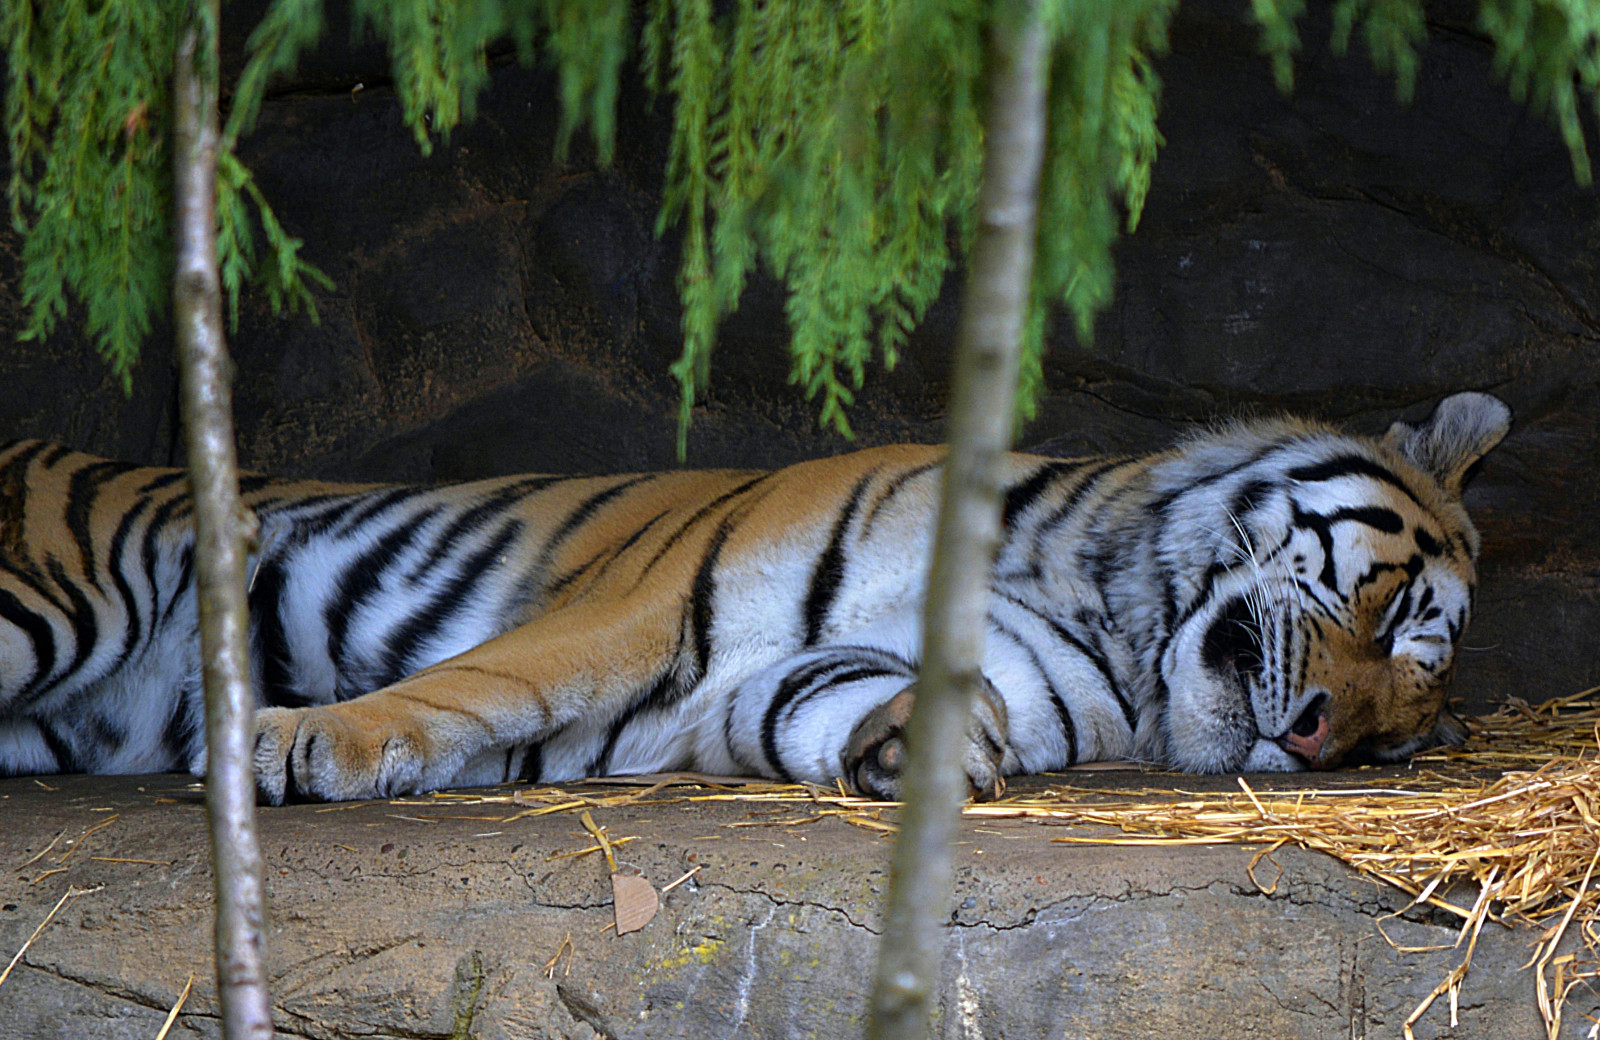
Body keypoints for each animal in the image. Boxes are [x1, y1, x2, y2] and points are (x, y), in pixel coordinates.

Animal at [0, 392, 1509, 804]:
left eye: (1396, 740)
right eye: (1394, 617)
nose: (1317, 733)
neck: (1112, 612)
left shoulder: (767, 680)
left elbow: (835, 695)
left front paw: (928, 750)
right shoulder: (646, 603)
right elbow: (484, 681)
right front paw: (298, 743)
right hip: (64, 596)